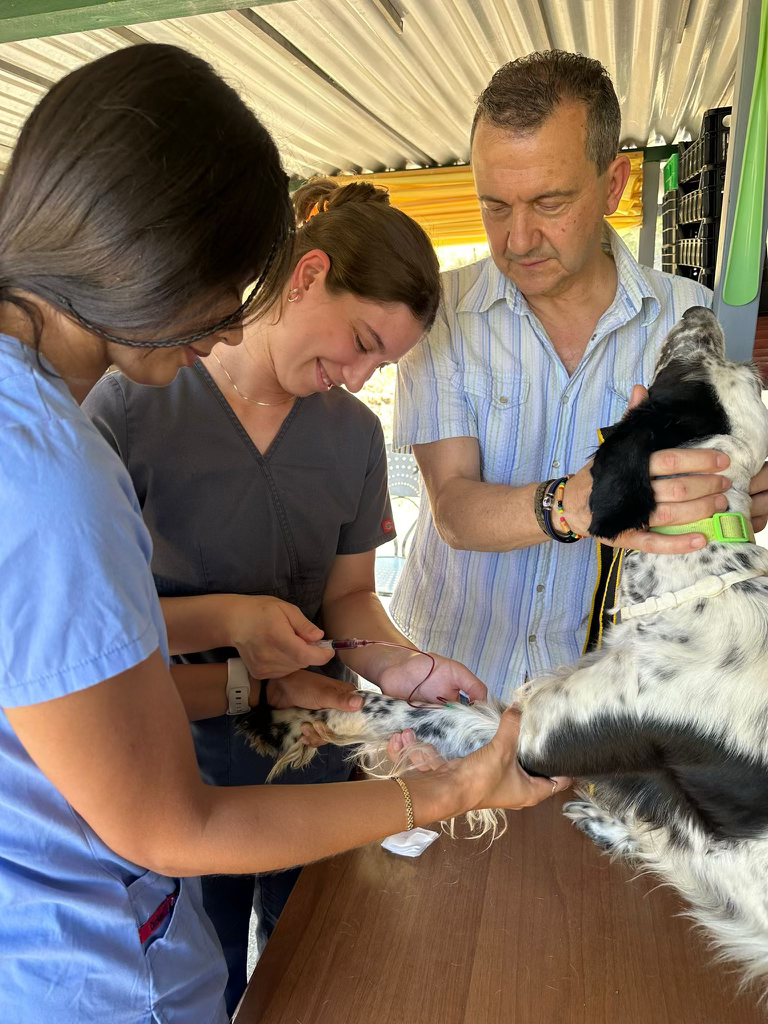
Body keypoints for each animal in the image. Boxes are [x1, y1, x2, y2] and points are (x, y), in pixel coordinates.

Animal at [241, 307, 768, 987]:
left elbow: (411, 710)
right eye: (740, 373)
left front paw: (293, 716)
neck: (701, 577)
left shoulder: (537, 736)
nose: (700, 311)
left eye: (687, 370)